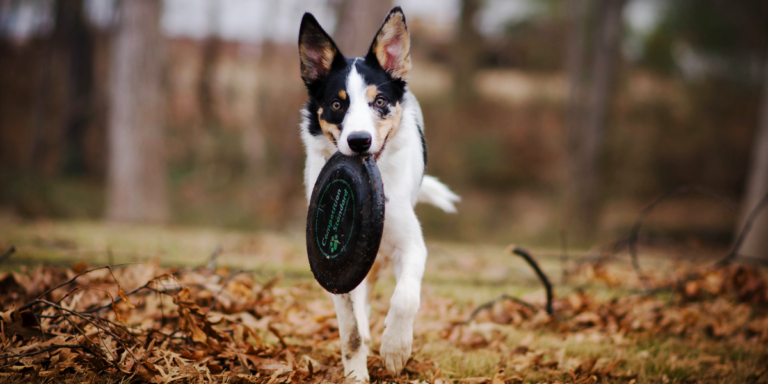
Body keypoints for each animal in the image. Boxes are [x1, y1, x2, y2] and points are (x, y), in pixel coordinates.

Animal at [296, 6, 460, 380]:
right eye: (337, 104)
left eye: (380, 101)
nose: (359, 141)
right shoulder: (338, 272)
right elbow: (351, 331)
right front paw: (356, 374)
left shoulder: (410, 246)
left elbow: (405, 298)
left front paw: (396, 349)